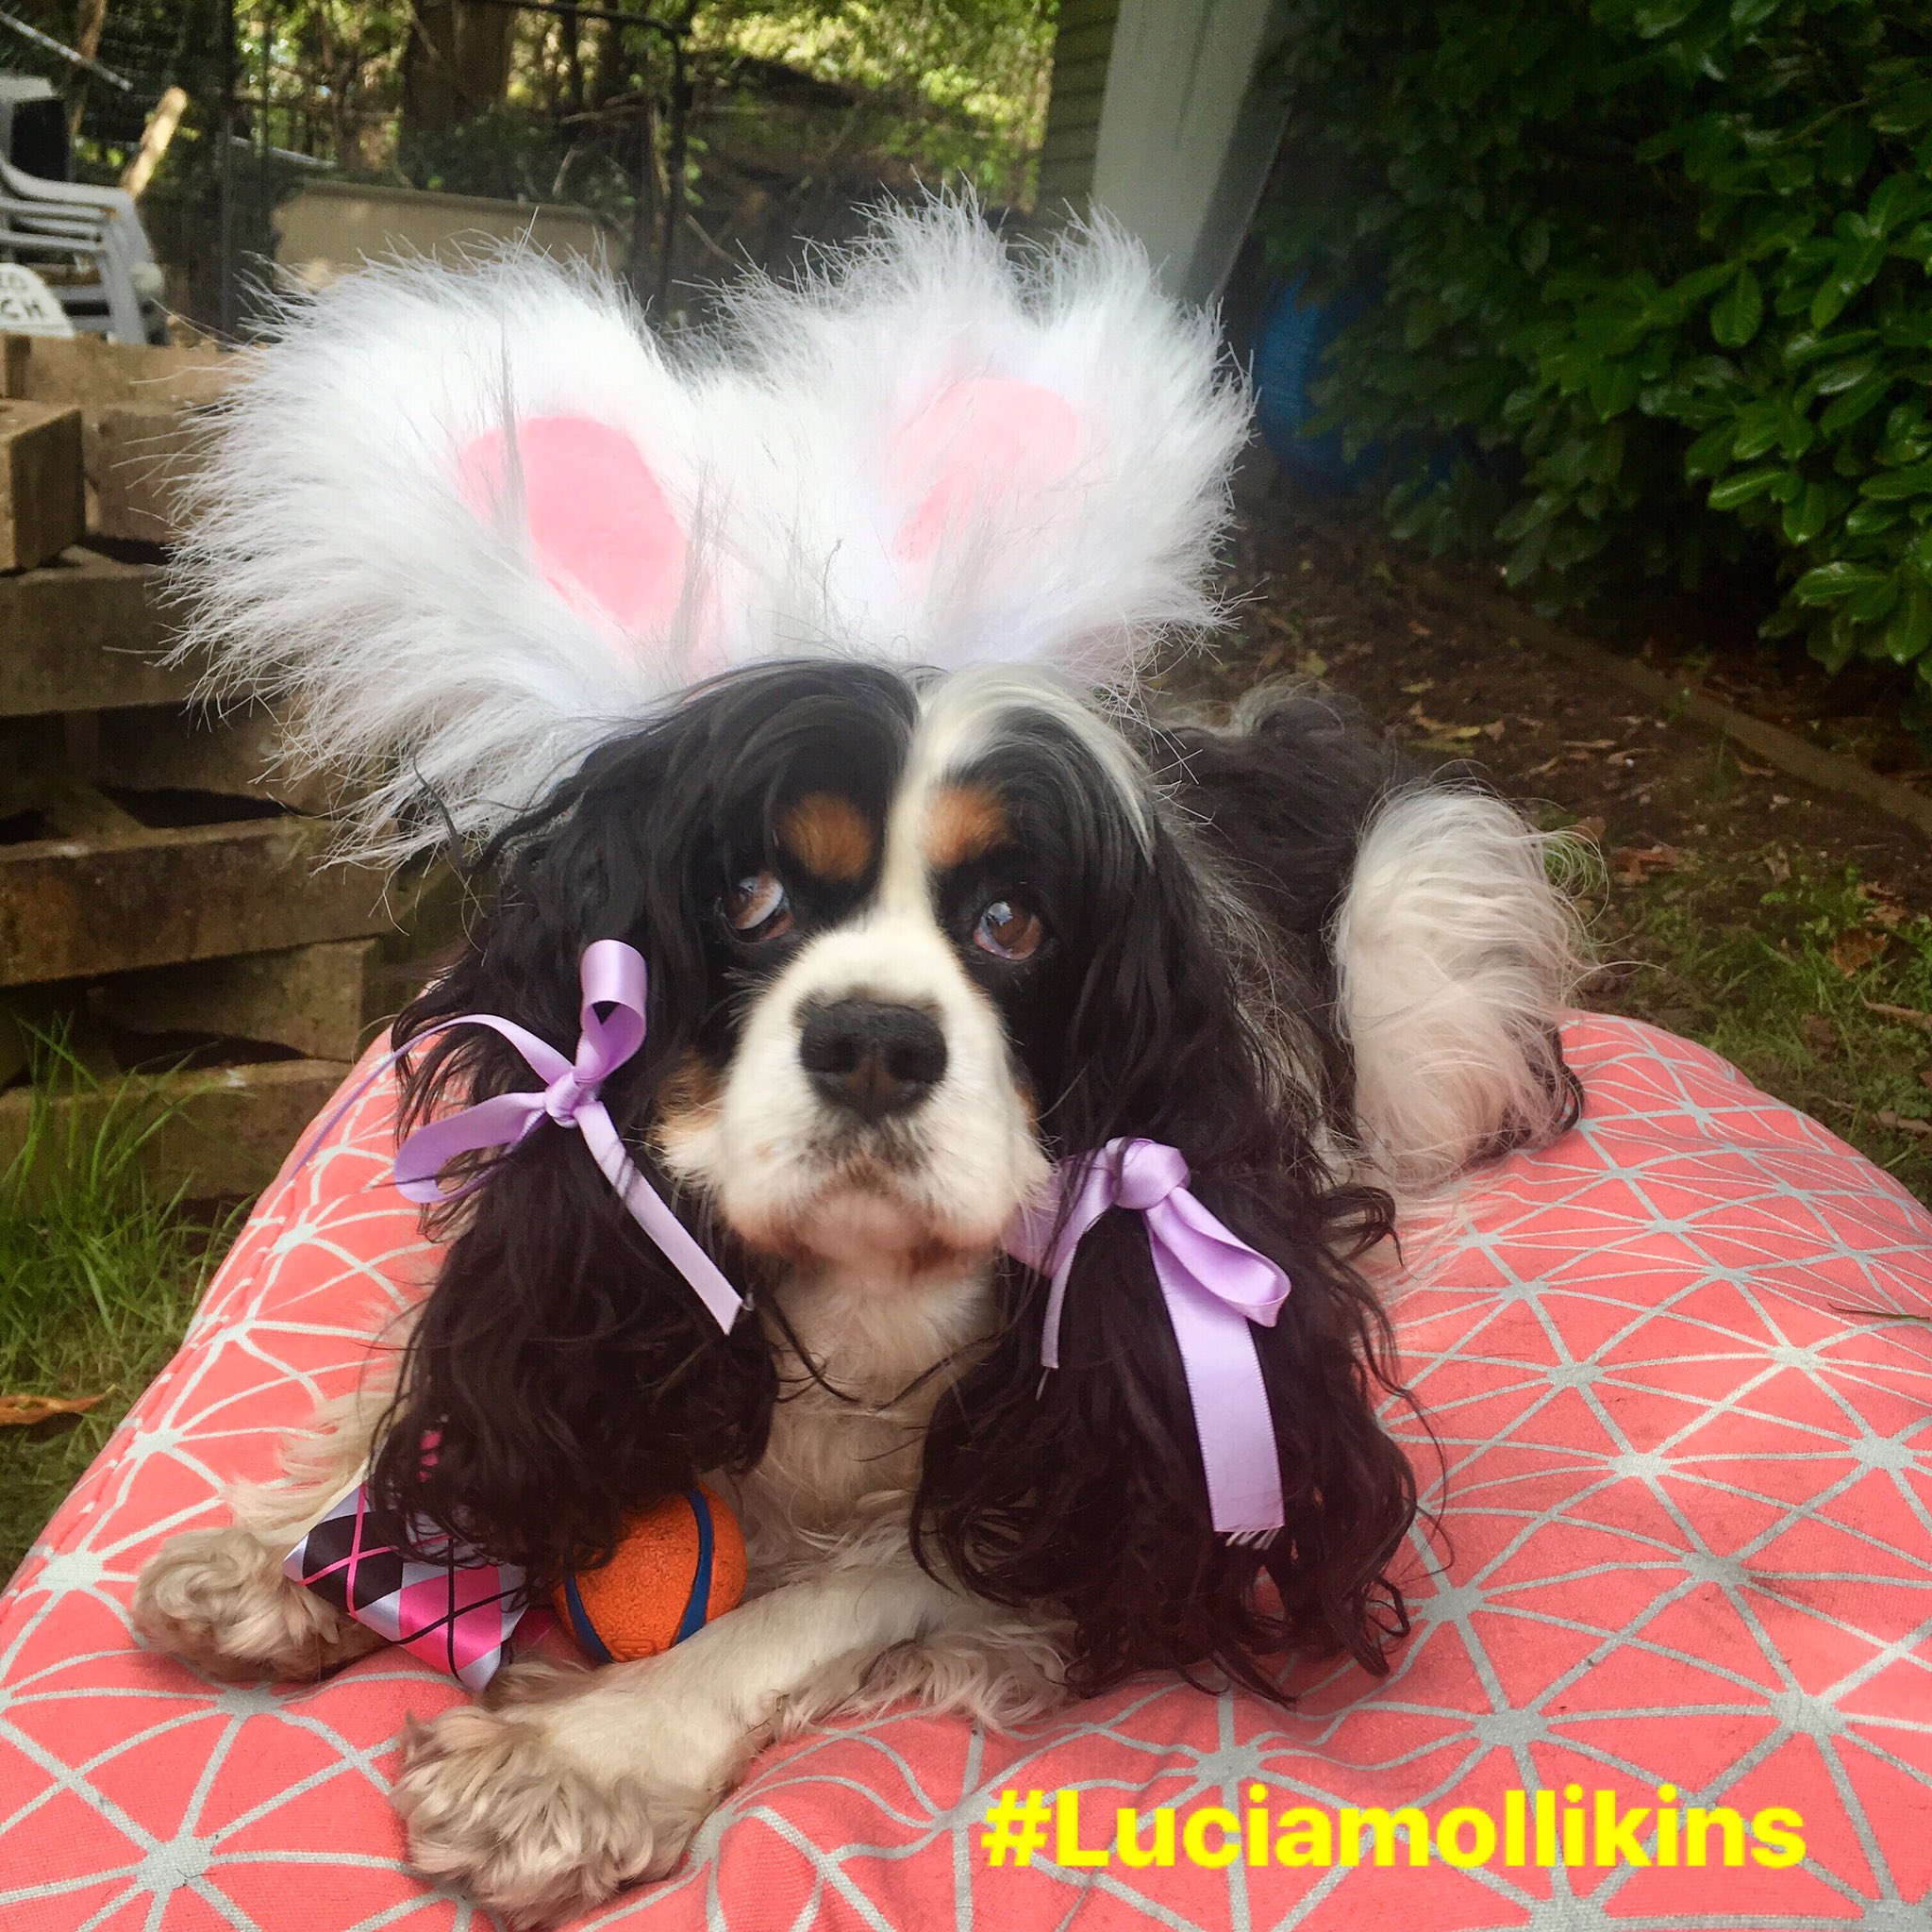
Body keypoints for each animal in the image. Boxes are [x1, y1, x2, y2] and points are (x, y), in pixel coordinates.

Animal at [133, 204, 1584, 1925]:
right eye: (754, 895)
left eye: (1015, 921)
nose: (876, 1041)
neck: (851, 1279)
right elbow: (444, 1386)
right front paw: (311, 1539)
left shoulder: (1085, 1482)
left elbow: (827, 1599)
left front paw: (579, 1756)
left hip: (1426, 951)